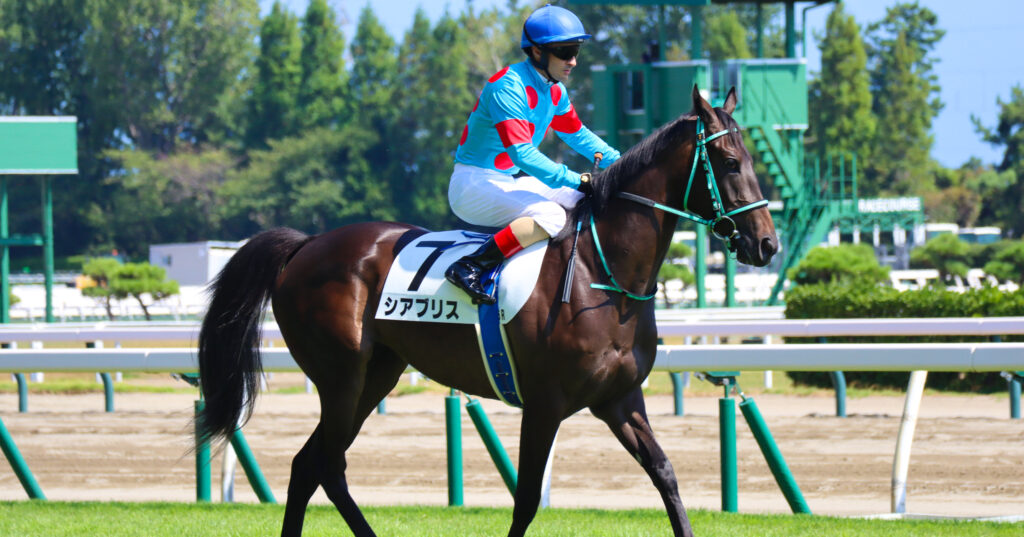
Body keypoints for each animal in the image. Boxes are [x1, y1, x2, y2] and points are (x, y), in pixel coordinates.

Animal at [197, 86, 778, 537]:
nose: (767, 244)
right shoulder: (544, 404)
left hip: (376, 374)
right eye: (729, 163)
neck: (603, 273)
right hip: (340, 376)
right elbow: (527, 500)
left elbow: (665, 474)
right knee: (319, 462)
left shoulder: (619, 398)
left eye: (753, 161)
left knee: (315, 464)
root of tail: (306, 245)